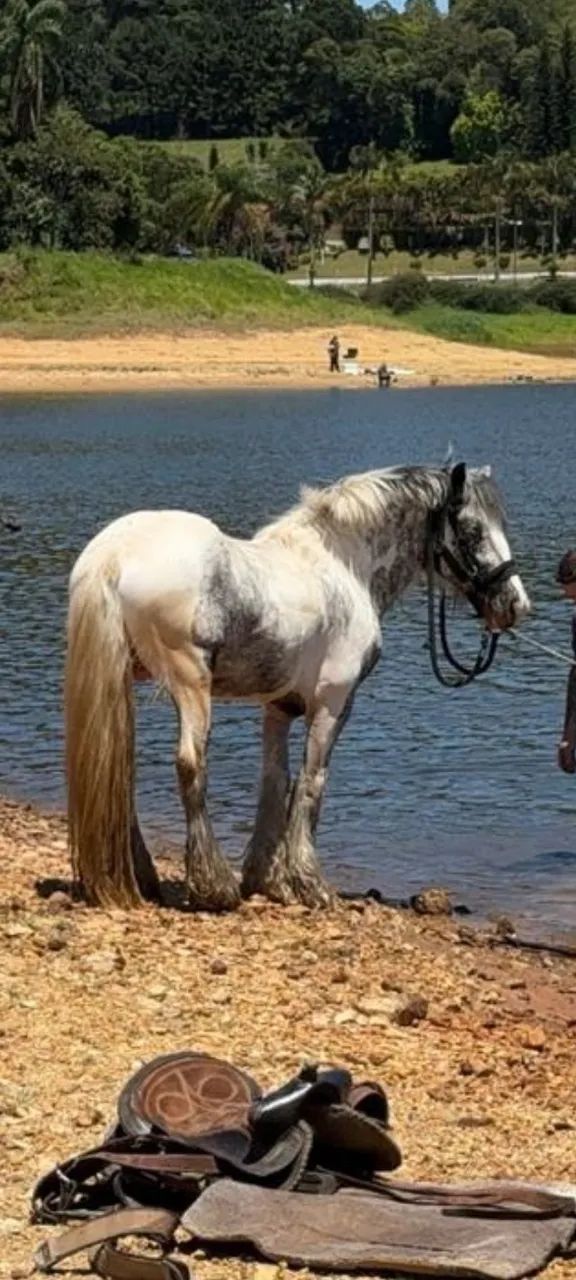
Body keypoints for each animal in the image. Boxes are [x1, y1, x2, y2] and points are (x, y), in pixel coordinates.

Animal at [65, 461, 530, 913]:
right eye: (472, 531)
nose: (515, 605)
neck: (343, 567)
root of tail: (113, 554)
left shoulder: (279, 707)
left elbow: (276, 782)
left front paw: (268, 881)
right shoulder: (332, 703)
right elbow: (311, 783)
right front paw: (311, 885)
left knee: (116, 763)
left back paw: (144, 876)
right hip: (190, 683)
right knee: (190, 766)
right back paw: (214, 886)